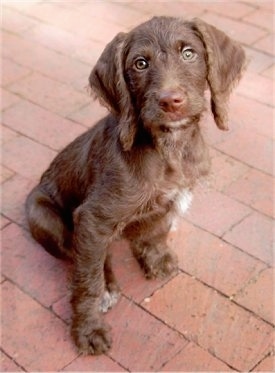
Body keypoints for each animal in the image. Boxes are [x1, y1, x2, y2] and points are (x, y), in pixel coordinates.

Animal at [25, 16, 246, 354]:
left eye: (189, 54)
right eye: (140, 64)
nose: (170, 101)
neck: (169, 148)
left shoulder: (173, 199)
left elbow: (157, 229)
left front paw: (154, 257)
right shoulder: (92, 218)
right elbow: (87, 281)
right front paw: (88, 329)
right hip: (43, 216)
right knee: (80, 255)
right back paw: (107, 285)